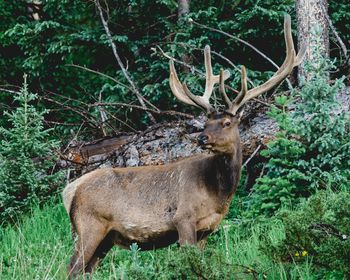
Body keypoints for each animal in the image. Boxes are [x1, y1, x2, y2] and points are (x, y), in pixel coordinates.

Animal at [64, 14, 304, 276]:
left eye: (226, 122)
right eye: (206, 123)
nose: (202, 139)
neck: (218, 194)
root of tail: (70, 191)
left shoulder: (207, 229)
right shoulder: (183, 218)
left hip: (106, 238)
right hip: (89, 225)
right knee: (71, 267)